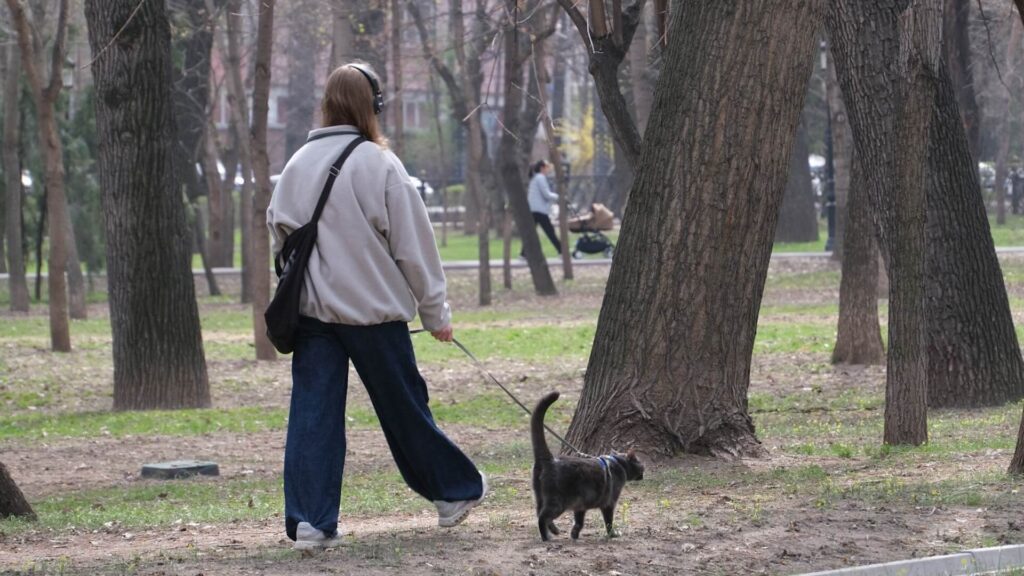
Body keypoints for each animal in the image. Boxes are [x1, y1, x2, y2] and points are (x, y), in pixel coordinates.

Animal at [532, 389, 643, 537]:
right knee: (542, 517)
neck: (619, 463)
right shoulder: (609, 503)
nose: (643, 474)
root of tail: (550, 460)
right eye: (641, 465)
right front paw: (612, 534)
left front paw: (574, 534)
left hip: (540, 496)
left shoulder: (581, 504)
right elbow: (609, 521)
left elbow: (579, 521)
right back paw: (547, 537)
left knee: (539, 513)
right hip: (558, 501)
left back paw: (554, 531)